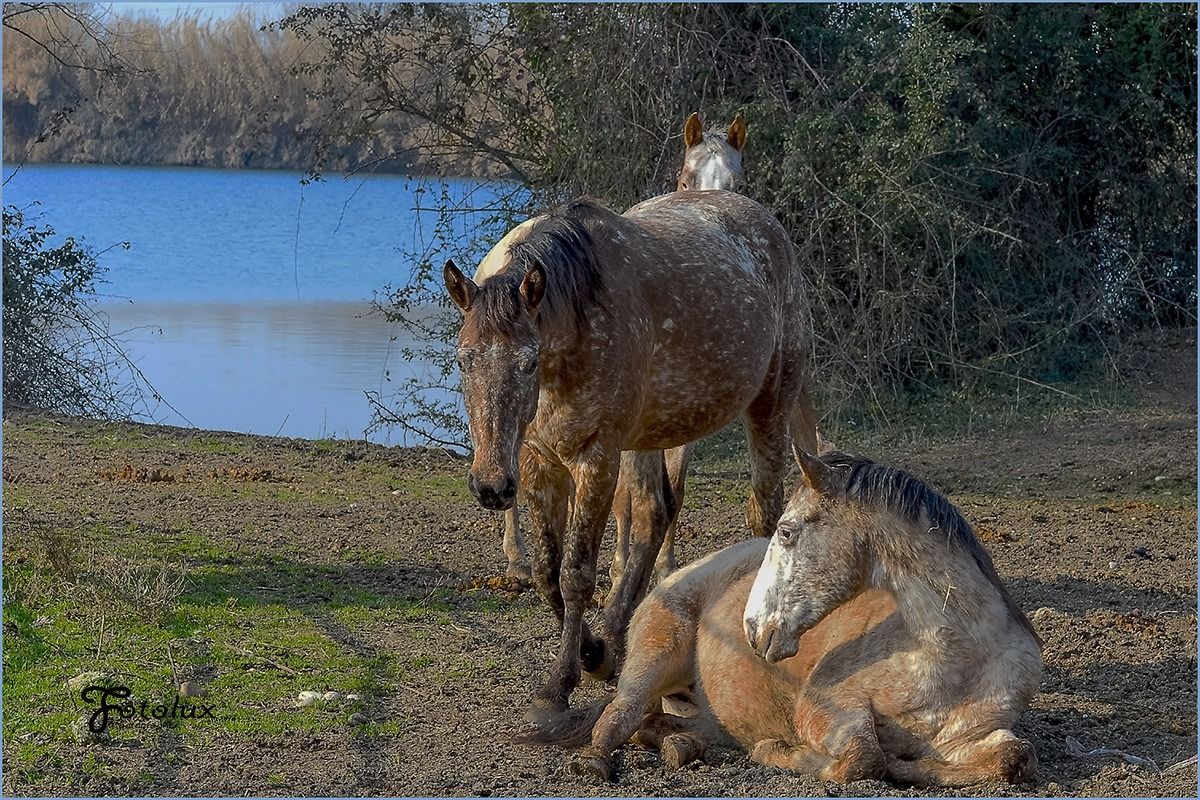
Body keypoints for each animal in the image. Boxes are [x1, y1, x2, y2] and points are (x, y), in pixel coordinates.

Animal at [445, 191, 815, 716]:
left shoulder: (596, 458)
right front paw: (595, 655)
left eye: (528, 361)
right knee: (655, 516)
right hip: (646, 438)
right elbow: (547, 572)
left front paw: (559, 683)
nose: (491, 486)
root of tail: (766, 223)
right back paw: (618, 634)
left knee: (763, 513)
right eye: (463, 359)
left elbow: (577, 573)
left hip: (770, 404)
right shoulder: (539, 462)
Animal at [500, 110, 755, 585]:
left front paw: (664, 566)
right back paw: (517, 558)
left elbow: (673, 488)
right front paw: (619, 566)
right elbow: (624, 496)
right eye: (686, 179)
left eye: (739, 182)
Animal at [525, 449, 1043, 788]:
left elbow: (1015, 757)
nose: (753, 628)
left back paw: (682, 748)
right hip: (655, 657)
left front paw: (911, 766)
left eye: (788, 531)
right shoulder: (827, 710)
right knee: (620, 716)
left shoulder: (973, 735)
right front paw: (780, 752)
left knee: (661, 725)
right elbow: (864, 760)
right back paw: (596, 760)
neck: (951, 657)